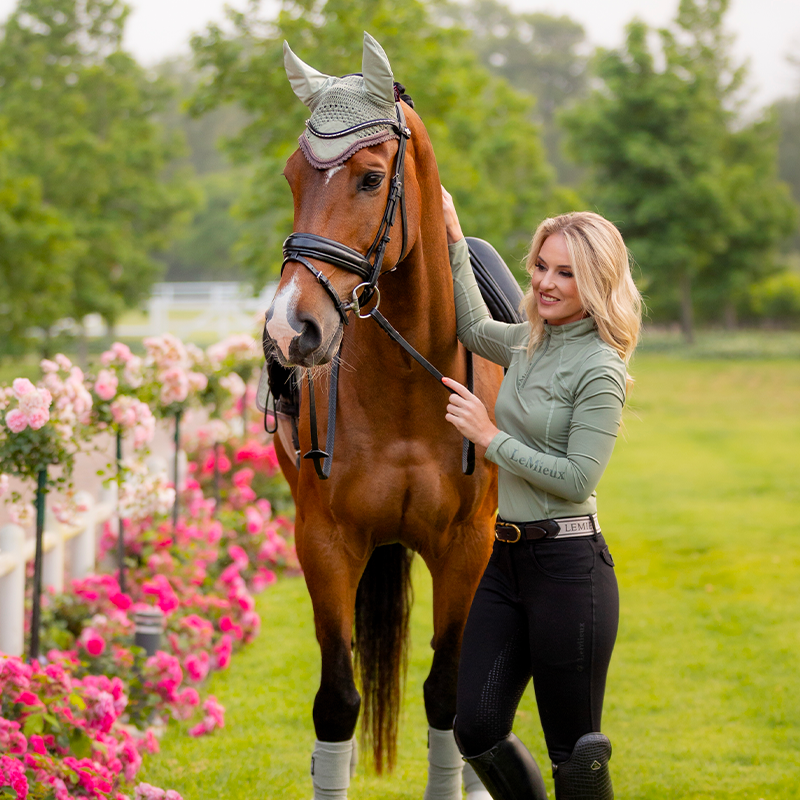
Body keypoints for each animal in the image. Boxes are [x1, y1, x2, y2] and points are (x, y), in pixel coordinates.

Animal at [262, 29, 500, 792]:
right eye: (291, 179)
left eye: (369, 179)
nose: (288, 330)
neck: (404, 387)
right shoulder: (325, 544)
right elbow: (338, 702)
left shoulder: (466, 547)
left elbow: (449, 698)